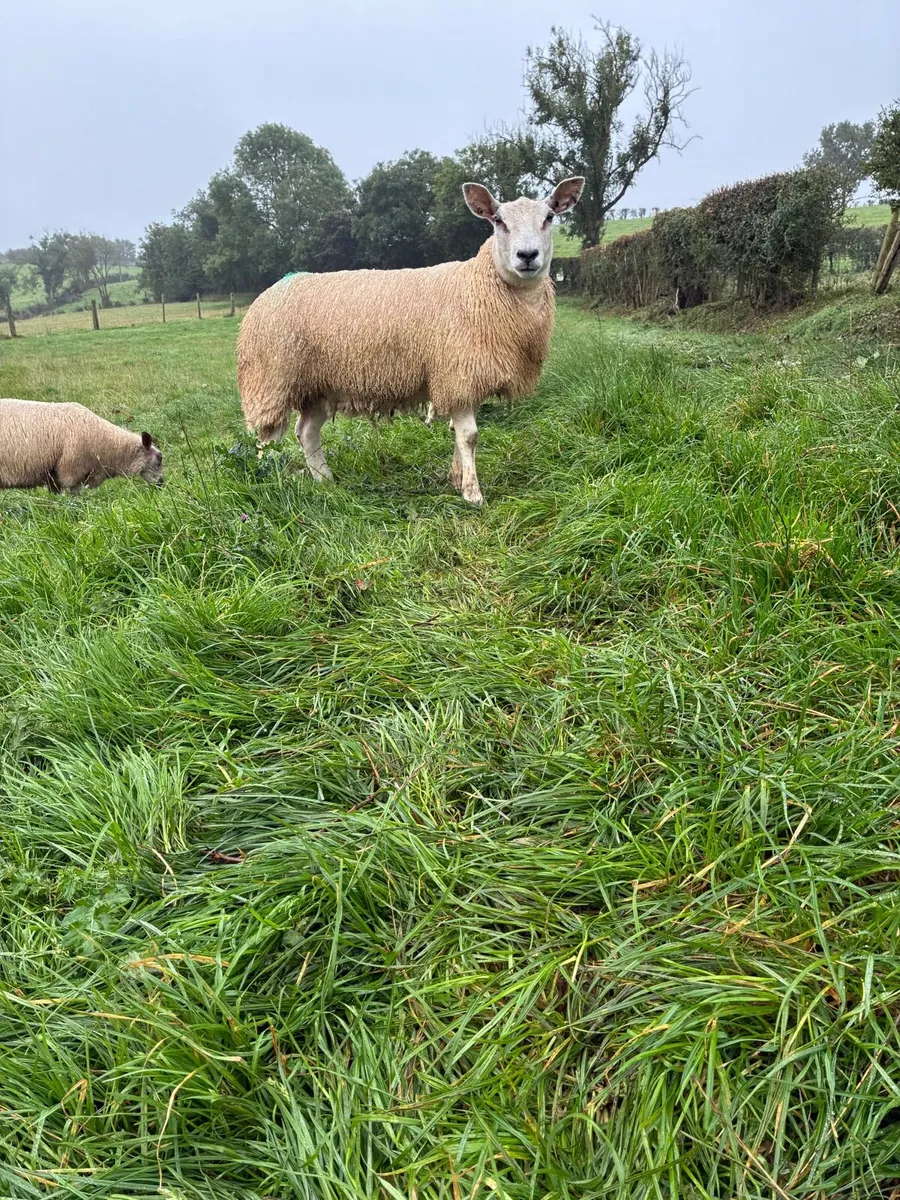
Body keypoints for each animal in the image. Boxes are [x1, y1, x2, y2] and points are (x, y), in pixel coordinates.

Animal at [237, 176, 585, 504]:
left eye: (549, 217)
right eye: (499, 221)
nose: (527, 256)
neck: (479, 288)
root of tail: (269, 291)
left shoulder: (464, 379)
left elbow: (458, 433)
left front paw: (456, 479)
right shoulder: (457, 372)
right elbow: (469, 436)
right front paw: (473, 494)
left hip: (320, 386)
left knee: (306, 433)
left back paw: (325, 481)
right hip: (271, 381)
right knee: (271, 437)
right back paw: (276, 480)